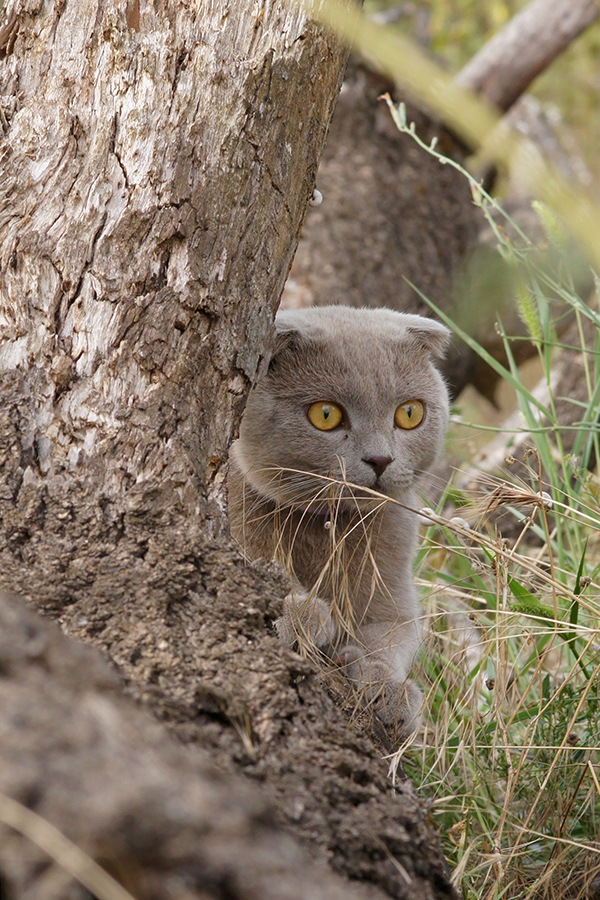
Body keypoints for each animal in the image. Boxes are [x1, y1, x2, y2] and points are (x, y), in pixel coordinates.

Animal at [230, 306, 450, 736]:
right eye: (326, 414)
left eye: (409, 413)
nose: (380, 459)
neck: (324, 528)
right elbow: (251, 567)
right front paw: (301, 614)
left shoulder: (392, 586)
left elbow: (393, 637)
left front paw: (389, 690)